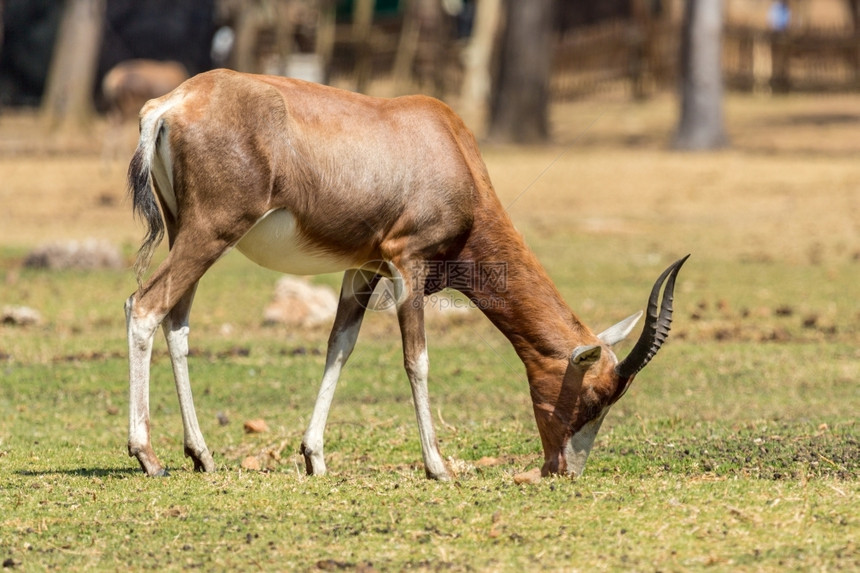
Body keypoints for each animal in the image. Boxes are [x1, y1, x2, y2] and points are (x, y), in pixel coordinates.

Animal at [124, 68, 688, 478]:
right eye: (595, 397)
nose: (563, 471)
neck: (446, 143)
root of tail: (170, 104)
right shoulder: (408, 263)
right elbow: (417, 359)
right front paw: (438, 466)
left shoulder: (364, 267)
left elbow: (339, 347)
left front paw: (314, 458)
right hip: (212, 231)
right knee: (144, 306)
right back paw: (148, 456)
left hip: (187, 232)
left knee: (176, 321)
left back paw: (200, 455)